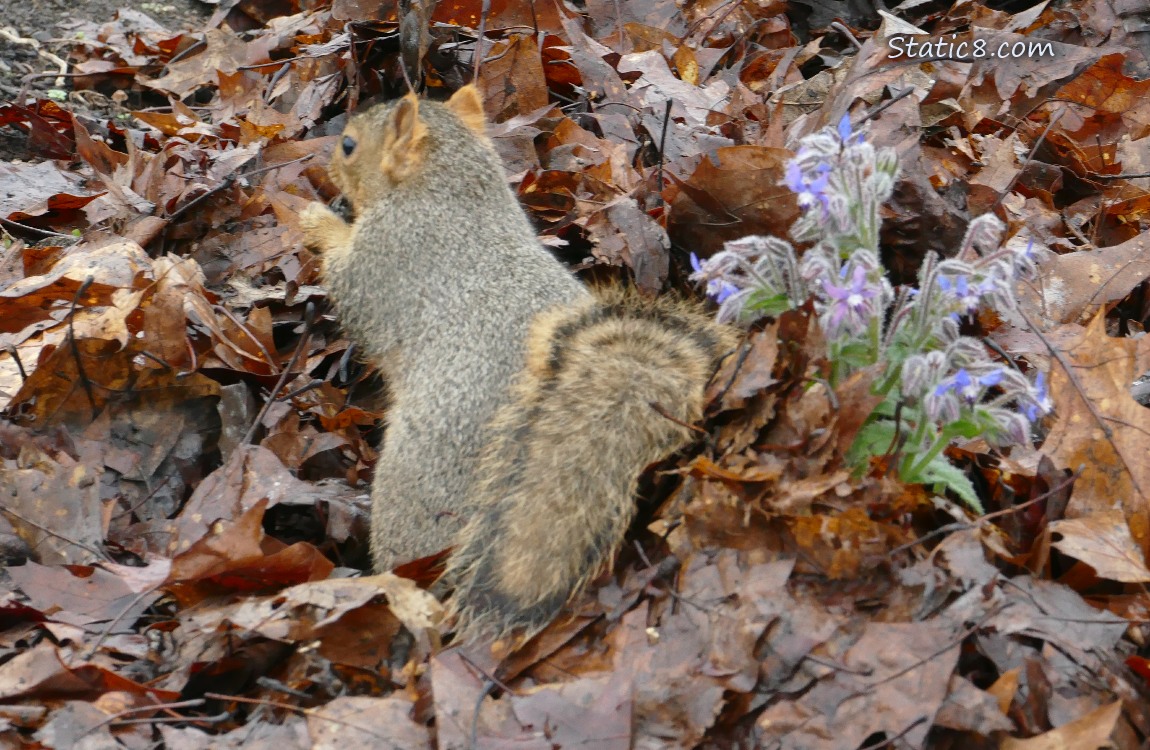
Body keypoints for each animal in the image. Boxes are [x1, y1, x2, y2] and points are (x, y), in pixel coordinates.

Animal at [303, 85, 736, 639]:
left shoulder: (384, 259)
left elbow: (346, 282)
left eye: (350, 146)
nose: (326, 164)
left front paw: (314, 219)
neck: (450, 189)